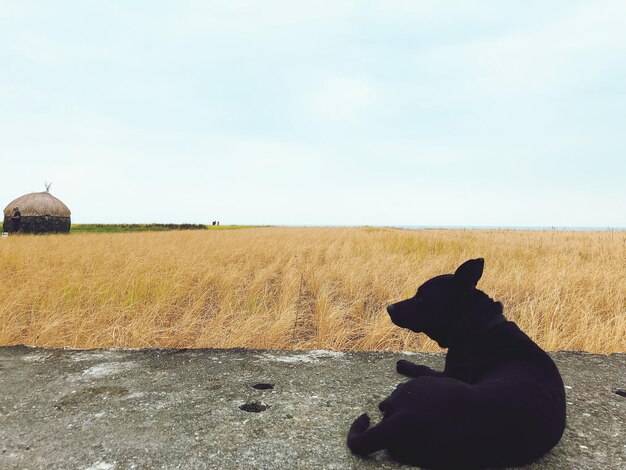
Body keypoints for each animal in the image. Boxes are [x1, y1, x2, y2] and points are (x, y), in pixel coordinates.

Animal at [346, 258, 564, 468]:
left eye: (420, 298)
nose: (389, 308)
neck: (480, 326)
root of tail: (405, 419)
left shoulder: (451, 373)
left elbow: (424, 367)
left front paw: (406, 364)